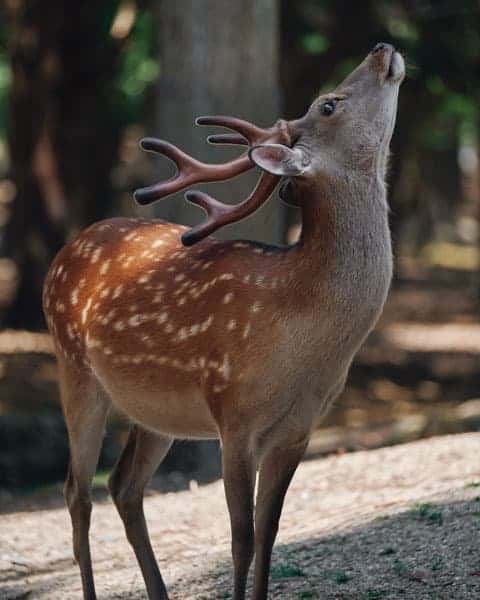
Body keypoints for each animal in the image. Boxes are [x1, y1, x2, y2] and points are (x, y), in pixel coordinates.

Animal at [42, 44, 404, 596]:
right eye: (329, 104)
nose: (382, 49)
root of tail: (62, 254)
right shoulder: (233, 414)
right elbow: (241, 538)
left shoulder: (298, 429)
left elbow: (271, 534)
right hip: (74, 369)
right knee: (77, 492)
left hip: (156, 411)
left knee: (124, 486)